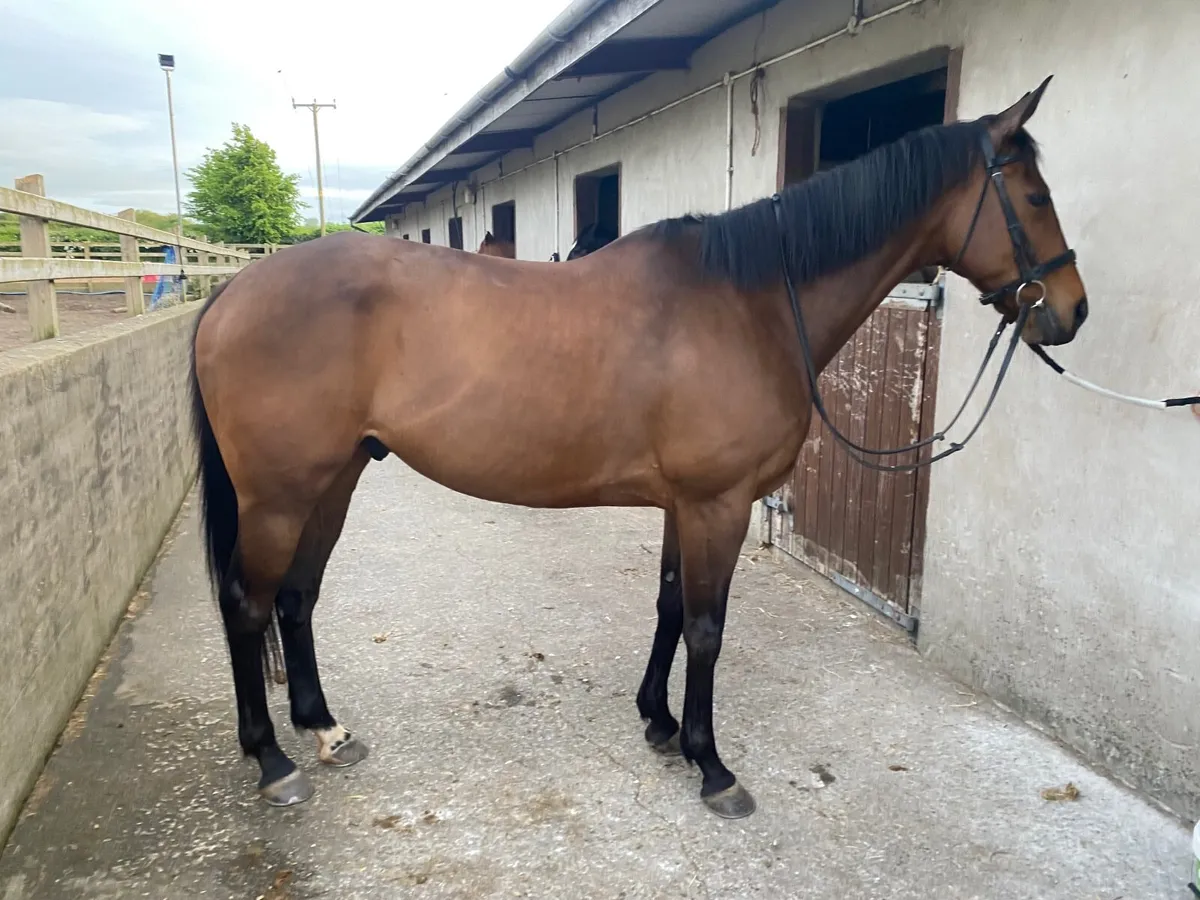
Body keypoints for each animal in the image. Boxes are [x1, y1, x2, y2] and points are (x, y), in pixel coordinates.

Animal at [189, 77, 1086, 818]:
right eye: (1036, 195)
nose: (1070, 311)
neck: (749, 303)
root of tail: (233, 291)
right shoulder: (718, 504)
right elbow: (707, 627)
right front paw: (712, 766)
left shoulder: (683, 503)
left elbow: (668, 606)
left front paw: (658, 722)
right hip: (279, 497)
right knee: (246, 604)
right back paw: (271, 761)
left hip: (332, 480)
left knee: (297, 598)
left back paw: (325, 730)